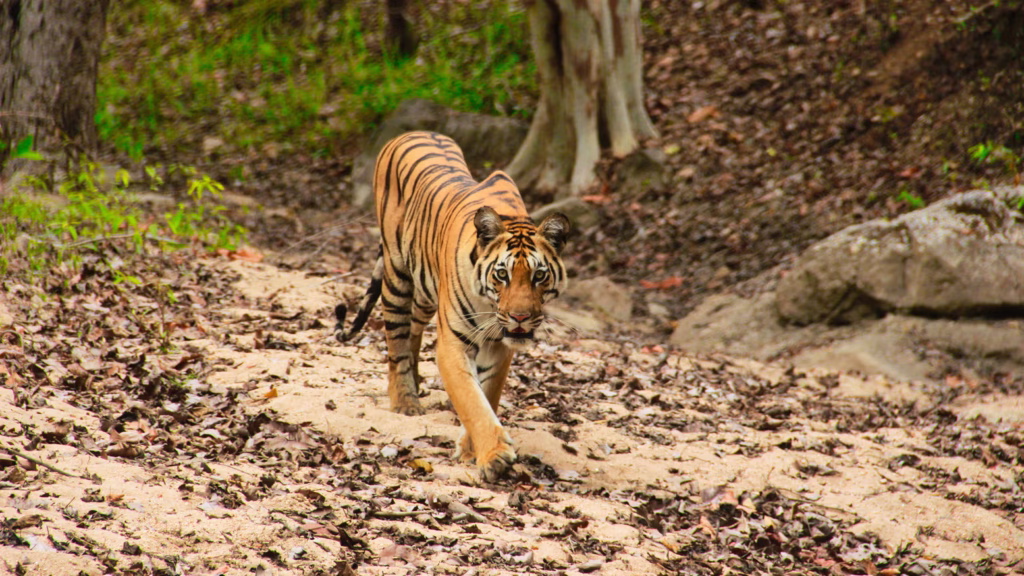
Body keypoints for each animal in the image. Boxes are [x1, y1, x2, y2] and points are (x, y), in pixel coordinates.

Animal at [335, 131, 570, 481]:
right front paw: (494, 455)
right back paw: (405, 400)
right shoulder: (453, 344)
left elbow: (488, 394)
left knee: (413, 329)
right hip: (396, 275)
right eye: (502, 274)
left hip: (425, 293)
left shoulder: (500, 347)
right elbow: (471, 399)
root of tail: (409, 133)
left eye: (539, 275)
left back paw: (416, 382)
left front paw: (472, 449)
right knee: (396, 341)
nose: (520, 317)